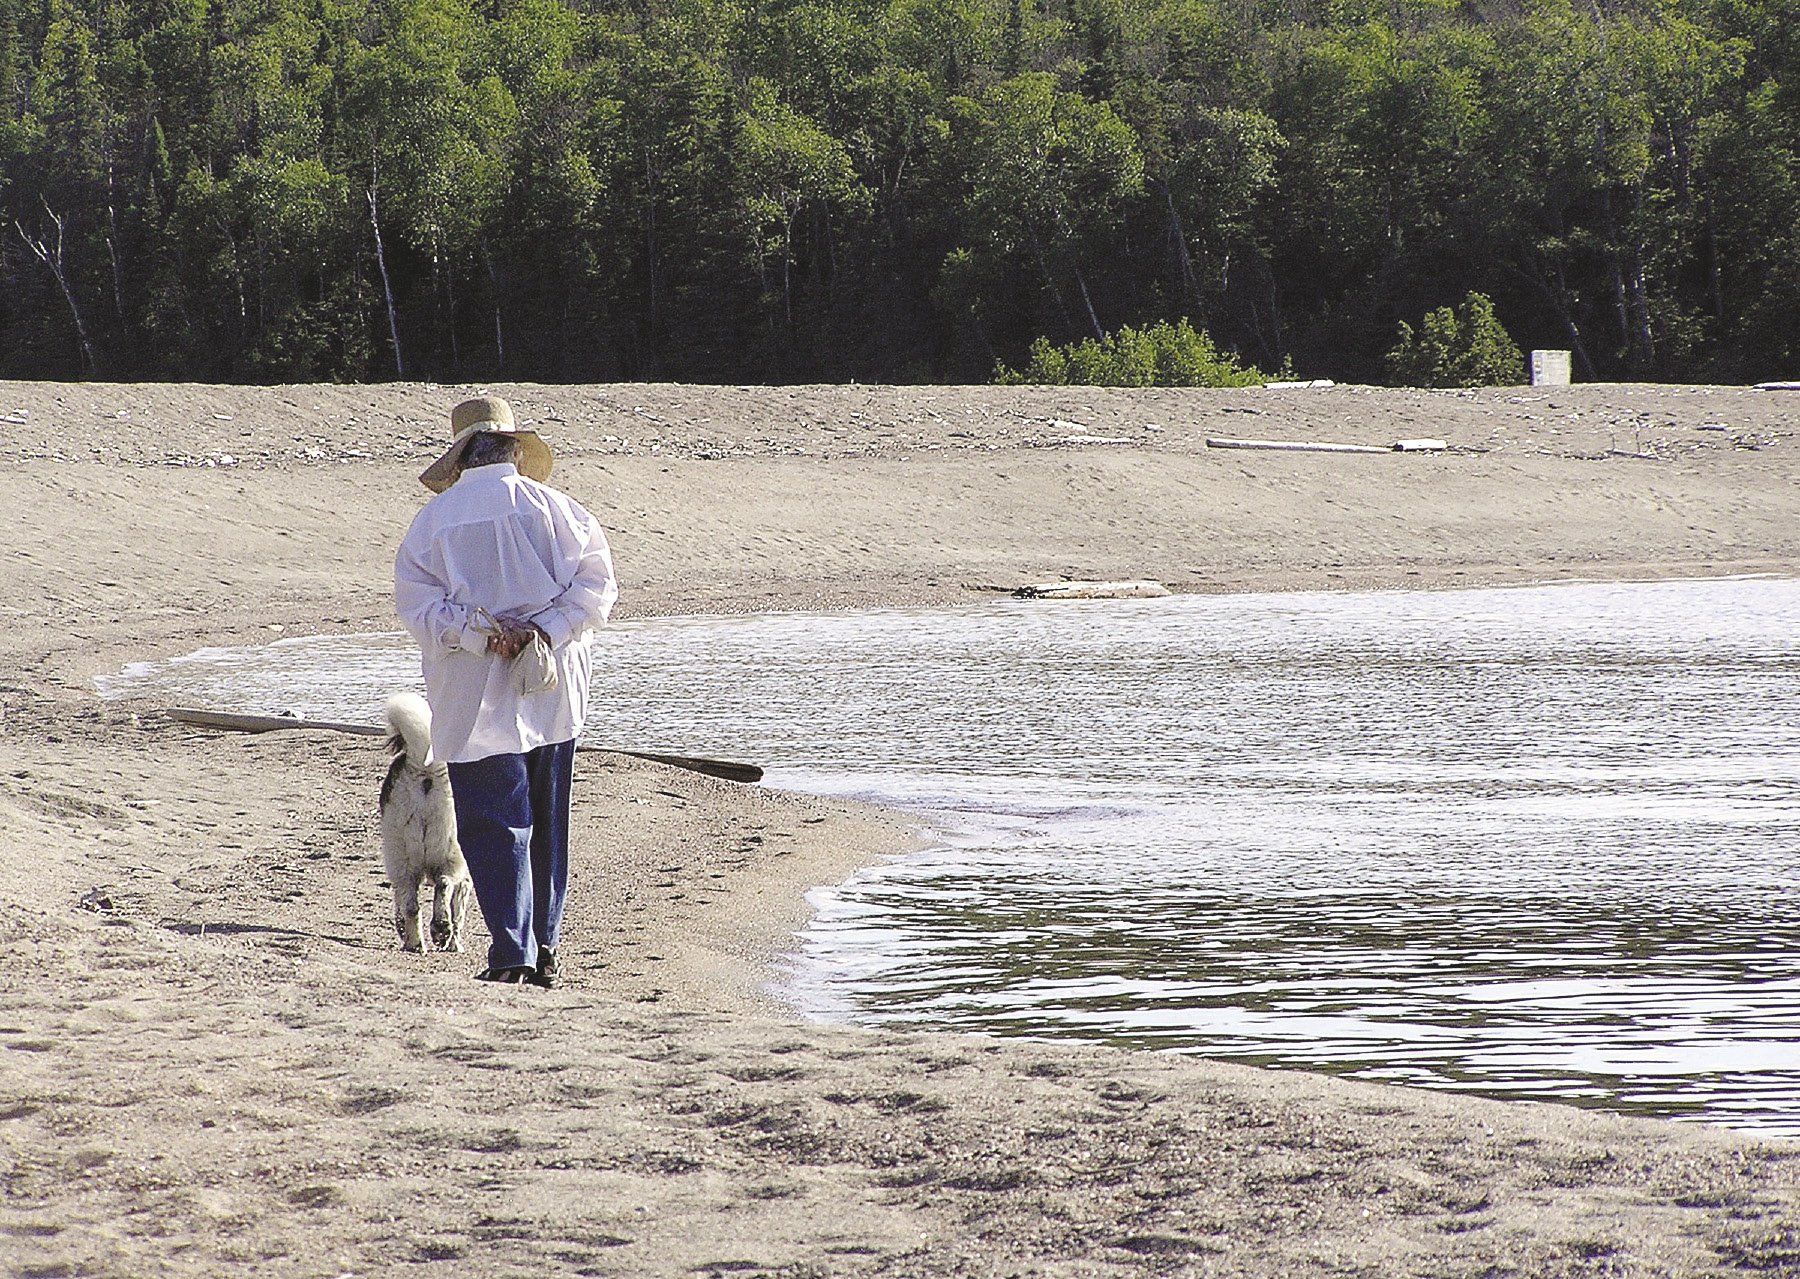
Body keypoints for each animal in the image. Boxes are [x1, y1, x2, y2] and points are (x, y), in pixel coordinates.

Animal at [379, 690, 471, 949]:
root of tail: (425, 767)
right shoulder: (467, 877)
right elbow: (458, 911)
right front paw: (454, 944)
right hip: (451, 851)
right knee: (443, 884)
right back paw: (439, 928)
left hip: (401, 856)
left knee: (410, 903)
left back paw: (415, 942)